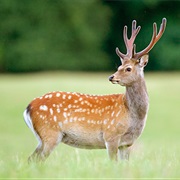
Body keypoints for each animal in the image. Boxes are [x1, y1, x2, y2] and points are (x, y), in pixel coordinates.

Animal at [23, 18, 167, 162]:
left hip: (43, 138)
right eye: (119, 67)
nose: (111, 77)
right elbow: (113, 163)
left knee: (31, 159)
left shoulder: (127, 144)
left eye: (128, 68)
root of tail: (28, 108)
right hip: (50, 133)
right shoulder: (111, 135)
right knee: (37, 159)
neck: (132, 115)